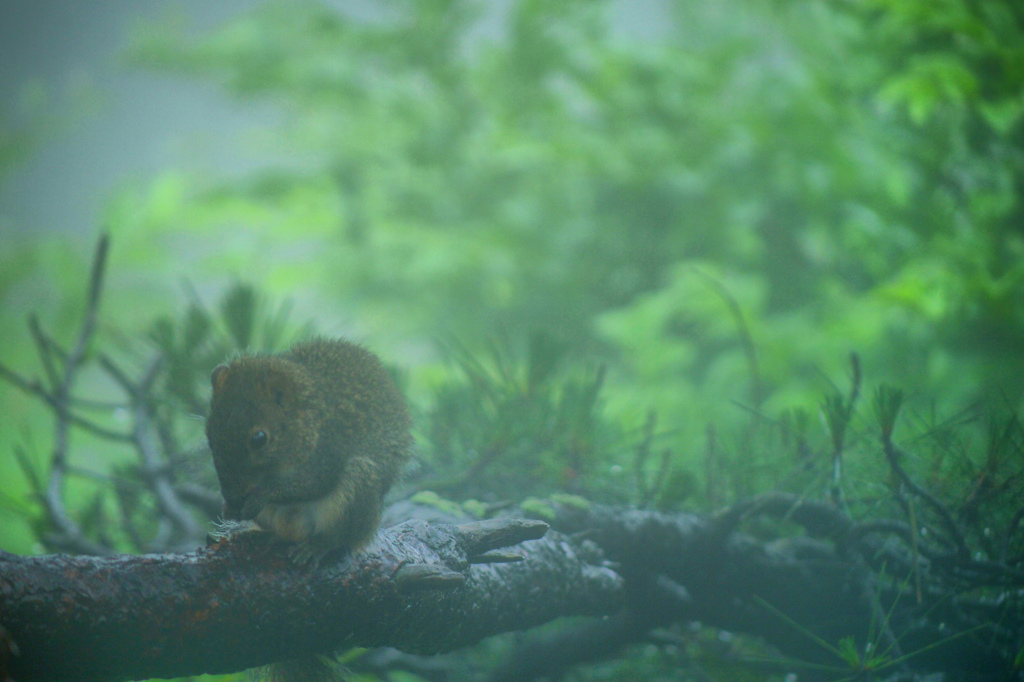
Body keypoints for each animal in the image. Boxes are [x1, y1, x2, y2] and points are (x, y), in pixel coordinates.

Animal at [203, 333, 411, 561]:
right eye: (209, 434)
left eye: (259, 439)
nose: (232, 497)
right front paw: (227, 507)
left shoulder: (327, 450)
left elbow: (313, 482)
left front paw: (261, 496)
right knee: (283, 534)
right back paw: (263, 536)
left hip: (359, 488)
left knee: (341, 538)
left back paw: (318, 545)